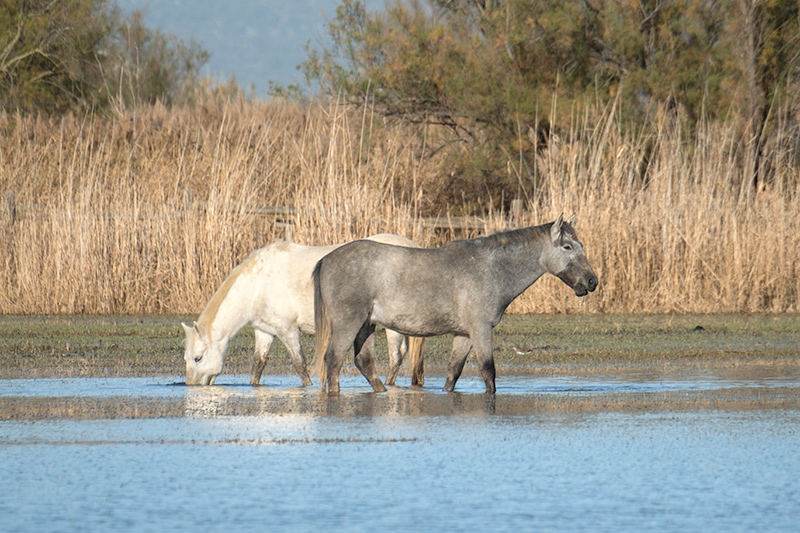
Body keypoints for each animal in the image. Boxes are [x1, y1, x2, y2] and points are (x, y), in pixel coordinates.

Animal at [182, 235, 424, 384]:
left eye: (197, 358)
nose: (192, 385)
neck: (258, 284)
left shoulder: (287, 330)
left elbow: (300, 364)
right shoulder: (264, 331)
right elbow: (258, 365)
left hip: (393, 327)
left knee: (396, 357)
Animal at [312, 214, 592, 392]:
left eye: (581, 244)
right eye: (567, 247)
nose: (591, 281)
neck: (490, 269)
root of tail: (326, 259)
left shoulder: (464, 334)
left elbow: (453, 372)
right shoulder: (480, 330)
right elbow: (488, 372)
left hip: (366, 326)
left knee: (364, 362)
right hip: (350, 324)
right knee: (333, 360)